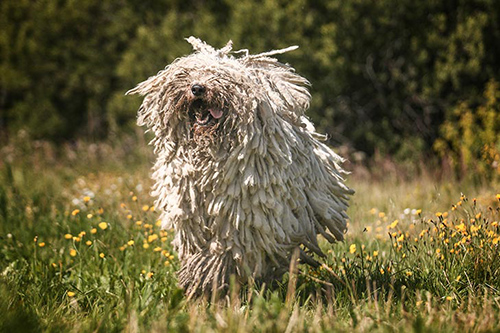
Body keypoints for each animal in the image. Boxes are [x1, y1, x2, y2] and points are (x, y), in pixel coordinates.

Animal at [129, 36, 356, 294]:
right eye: (188, 74)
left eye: (222, 78)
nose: (197, 88)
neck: (209, 156)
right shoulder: (190, 211)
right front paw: (197, 282)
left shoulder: (238, 218)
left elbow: (222, 252)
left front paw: (206, 281)